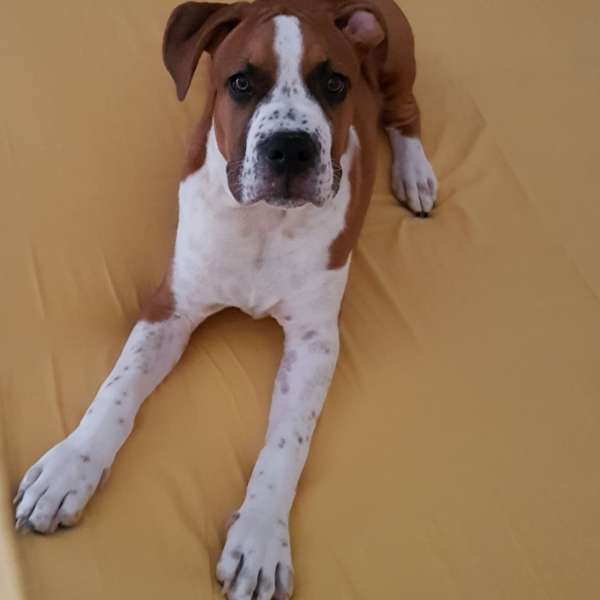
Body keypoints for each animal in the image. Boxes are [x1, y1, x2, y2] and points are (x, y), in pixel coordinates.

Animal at [14, 1, 437, 597]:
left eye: (335, 84)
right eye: (240, 83)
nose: (291, 148)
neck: (264, 221)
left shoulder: (314, 342)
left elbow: (286, 445)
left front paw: (259, 536)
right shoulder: (170, 306)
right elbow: (116, 390)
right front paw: (70, 465)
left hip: (399, 45)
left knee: (405, 108)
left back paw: (415, 171)